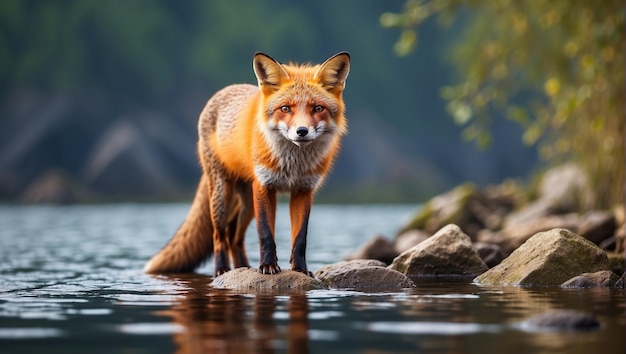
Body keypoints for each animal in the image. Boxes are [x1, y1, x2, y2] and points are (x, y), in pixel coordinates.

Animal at [145, 51, 352, 276]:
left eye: (318, 108)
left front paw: (299, 270)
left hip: (247, 205)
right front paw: (268, 266)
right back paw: (222, 270)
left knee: (235, 237)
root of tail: (226, 89)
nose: (302, 131)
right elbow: (265, 234)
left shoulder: (303, 190)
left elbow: (300, 238)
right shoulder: (263, 186)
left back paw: (242, 268)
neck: (292, 165)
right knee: (220, 236)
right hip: (223, 195)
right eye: (285, 108)